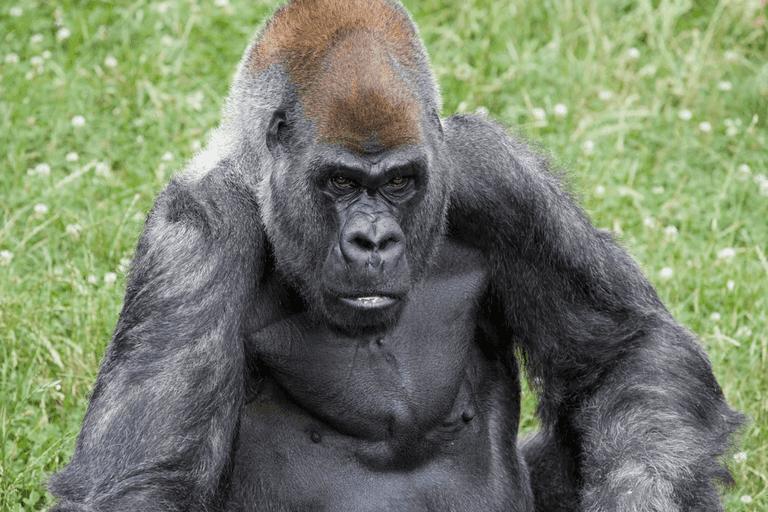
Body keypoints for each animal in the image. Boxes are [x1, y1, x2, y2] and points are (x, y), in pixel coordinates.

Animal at [48, 0, 743, 510]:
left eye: (400, 182)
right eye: (340, 182)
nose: (374, 241)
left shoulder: (496, 177)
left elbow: (625, 351)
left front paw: (644, 495)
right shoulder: (197, 235)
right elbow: (145, 478)